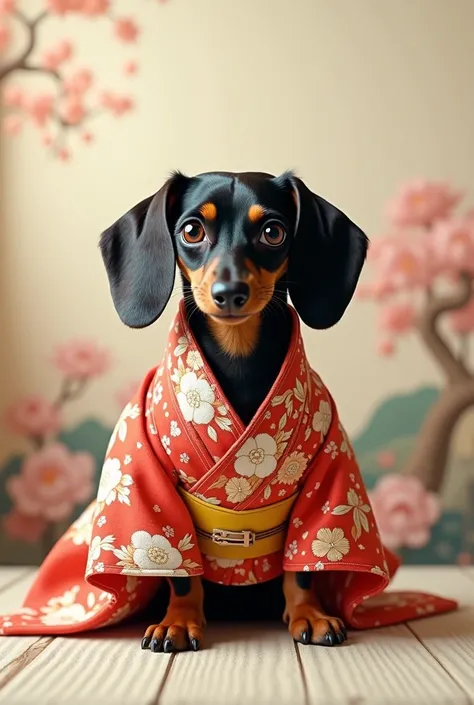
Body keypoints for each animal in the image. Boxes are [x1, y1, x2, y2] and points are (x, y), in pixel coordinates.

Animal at [98, 169, 368, 648]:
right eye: (192, 230)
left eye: (273, 232)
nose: (230, 292)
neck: (238, 354)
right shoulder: (154, 491)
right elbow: (180, 567)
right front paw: (179, 619)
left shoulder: (327, 474)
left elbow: (303, 565)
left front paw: (309, 613)